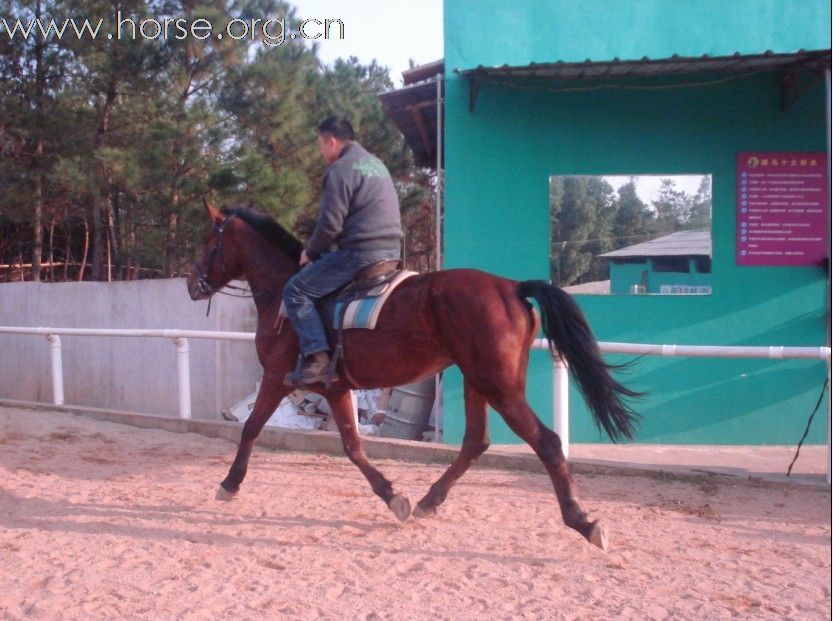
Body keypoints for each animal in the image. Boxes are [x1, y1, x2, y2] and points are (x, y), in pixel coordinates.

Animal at [188, 201, 640, 548]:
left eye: (209, 243)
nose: (192, 284)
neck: (285, 292)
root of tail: (511, 287)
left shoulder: (276, 378)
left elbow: (251, 428)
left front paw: (229, 484)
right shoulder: (335, 389)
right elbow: (353, 447)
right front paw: (394, 497)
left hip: (500, 387)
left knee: (546, 442)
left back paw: (581, 520)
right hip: (477, 382)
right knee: (476, 442)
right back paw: (429, 501)